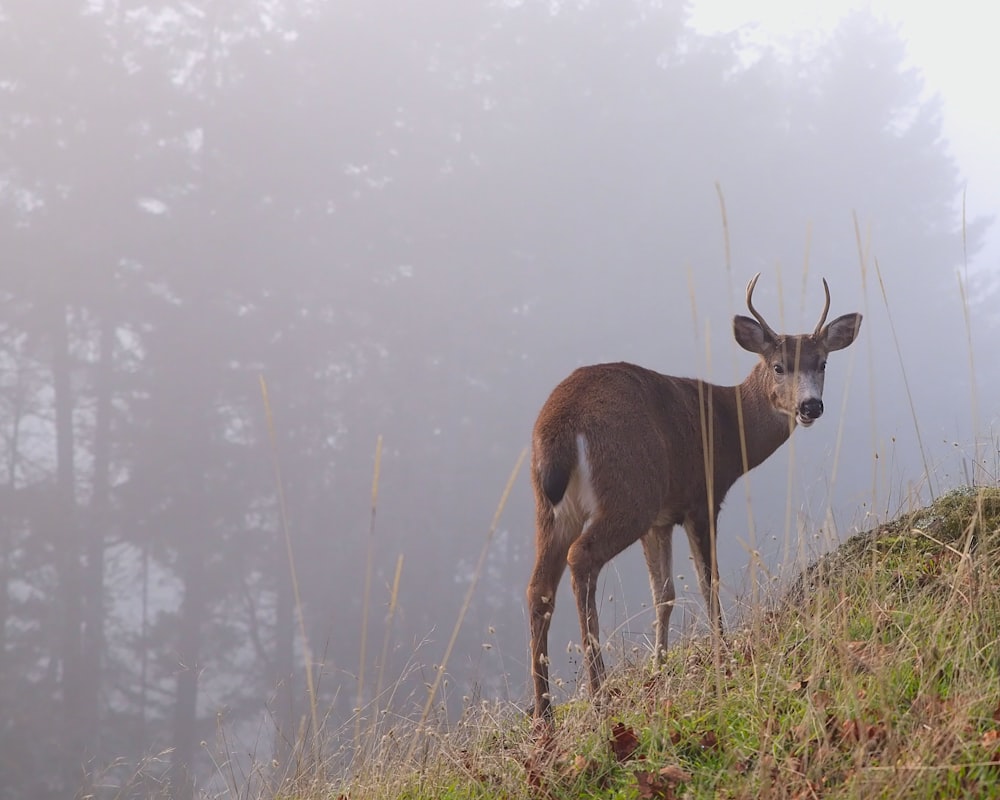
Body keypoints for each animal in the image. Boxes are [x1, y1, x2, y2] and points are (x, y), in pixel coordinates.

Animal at [528, 276, 864, 720]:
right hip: (629, 494)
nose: (811, 406)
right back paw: (599, 695)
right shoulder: (702, 497)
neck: (728, 424)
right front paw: (722, 649)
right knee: (580, 558)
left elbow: (665, 594)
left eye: (822, 362)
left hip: (551, 508)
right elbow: (709, 581)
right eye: (779, 366)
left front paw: (660, 666)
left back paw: (543, 712)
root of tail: (560, 427)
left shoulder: (660, 519)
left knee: (538, 587)